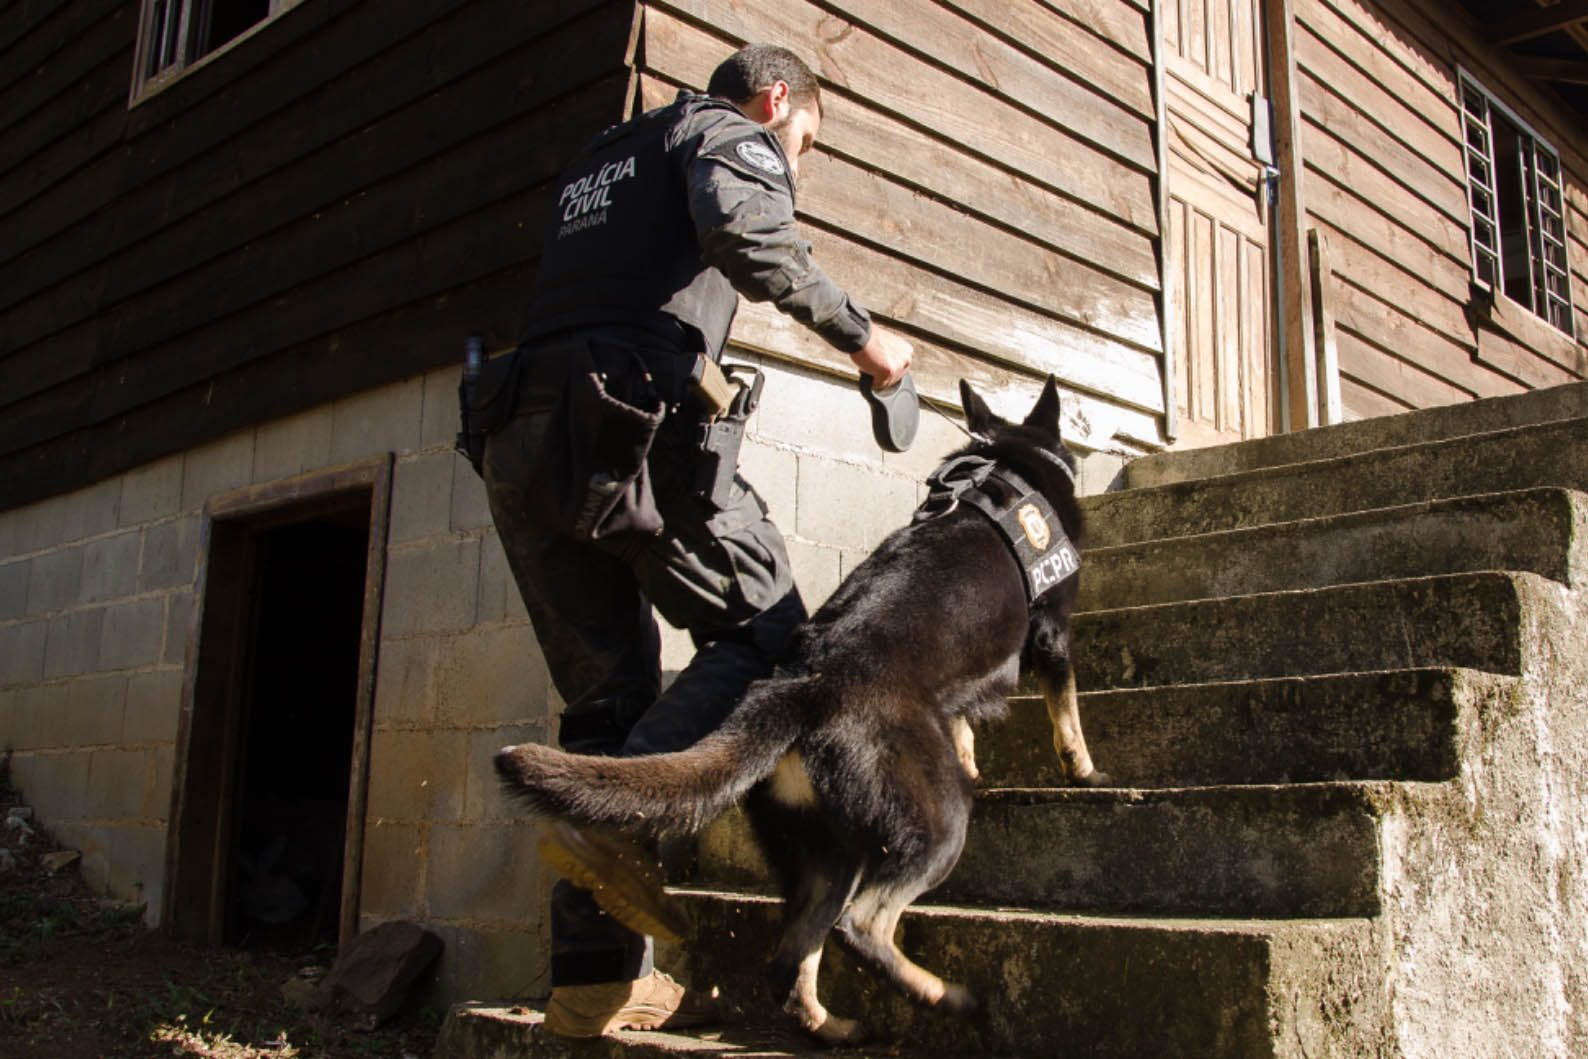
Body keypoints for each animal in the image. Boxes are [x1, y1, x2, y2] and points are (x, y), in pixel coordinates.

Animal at [495, 379, 1105, 1041]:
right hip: (934, 827)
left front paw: (973, 754)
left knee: (790, 961)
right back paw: (946, 999)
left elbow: (965, 719)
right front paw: (1085, 772)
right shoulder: (1052, 630)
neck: (1007, 457)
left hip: (826, 855)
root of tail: (805, 686)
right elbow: (1068, 712)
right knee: (862, 927)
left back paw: (832, 1028)